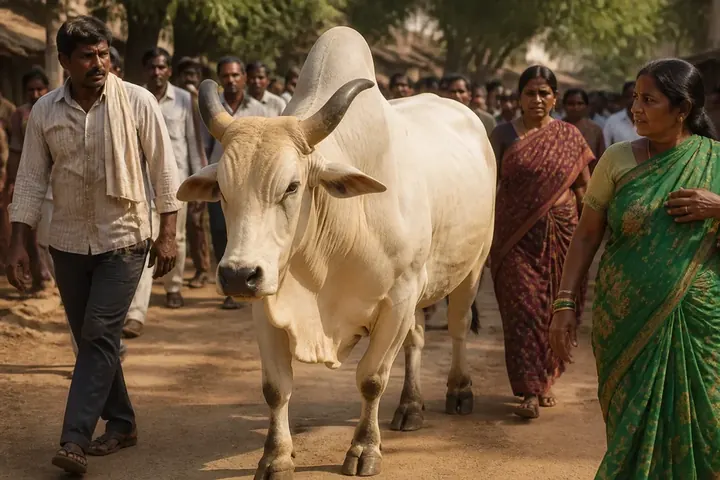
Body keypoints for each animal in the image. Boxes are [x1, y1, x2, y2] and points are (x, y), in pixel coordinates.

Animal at [177, 27, 496, 479]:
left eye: (292, 186)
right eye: (221, 188)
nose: (237, 274)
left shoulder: (398, 297)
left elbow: (372, 378)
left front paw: (364, 449)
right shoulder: (267, 302)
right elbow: (275, 388)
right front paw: (276, 456)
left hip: (472, 265)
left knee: (457, 327)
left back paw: (459, 390)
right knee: (416, 340)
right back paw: (411, 406)